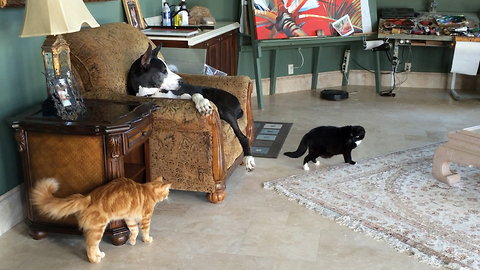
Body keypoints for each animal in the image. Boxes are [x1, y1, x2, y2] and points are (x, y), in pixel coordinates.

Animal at [31, 176, 171, 262]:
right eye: (167, 192)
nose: (168, 196)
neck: (148, 190)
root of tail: (88, 197)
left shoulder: (129, 217)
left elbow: (134, 230)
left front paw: (131, 241)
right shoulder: (145, 218)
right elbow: (144, 231)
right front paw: (147, 240)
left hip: (96, 229)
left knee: (94, 244)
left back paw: (99, 254)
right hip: (99, 228)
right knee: (90, 245)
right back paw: (94, 260)